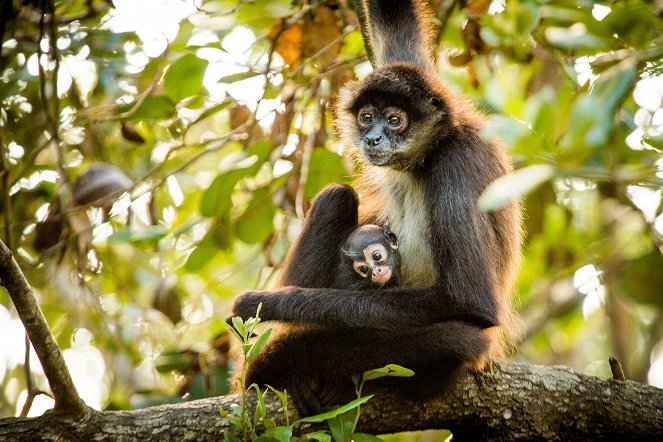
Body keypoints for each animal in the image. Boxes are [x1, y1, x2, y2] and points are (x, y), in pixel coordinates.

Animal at [231, 0, 520, 414]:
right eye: (367, 117)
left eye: (395, 120)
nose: (373, 137)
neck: (425, 157)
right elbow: (394, 17)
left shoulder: (456, 163)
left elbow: (471, 301)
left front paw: (274, 304)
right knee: (338, 196)